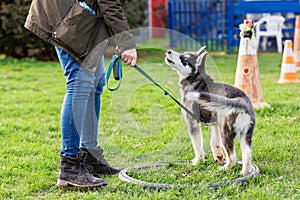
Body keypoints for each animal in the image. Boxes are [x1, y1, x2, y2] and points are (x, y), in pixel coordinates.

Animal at [164, 47, 255, 175]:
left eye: (184, 58)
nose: (168, 51)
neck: (195, 81)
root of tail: (242, 101)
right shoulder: (215, 124)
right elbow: (214, 143)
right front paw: (219, 158)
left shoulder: (193, 124)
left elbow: (197, 146)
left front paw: (198, 162)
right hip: (245, 134)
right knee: (247, 155)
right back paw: (244, 173)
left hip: (225, 133)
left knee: (232, 157)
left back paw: (225, 168)